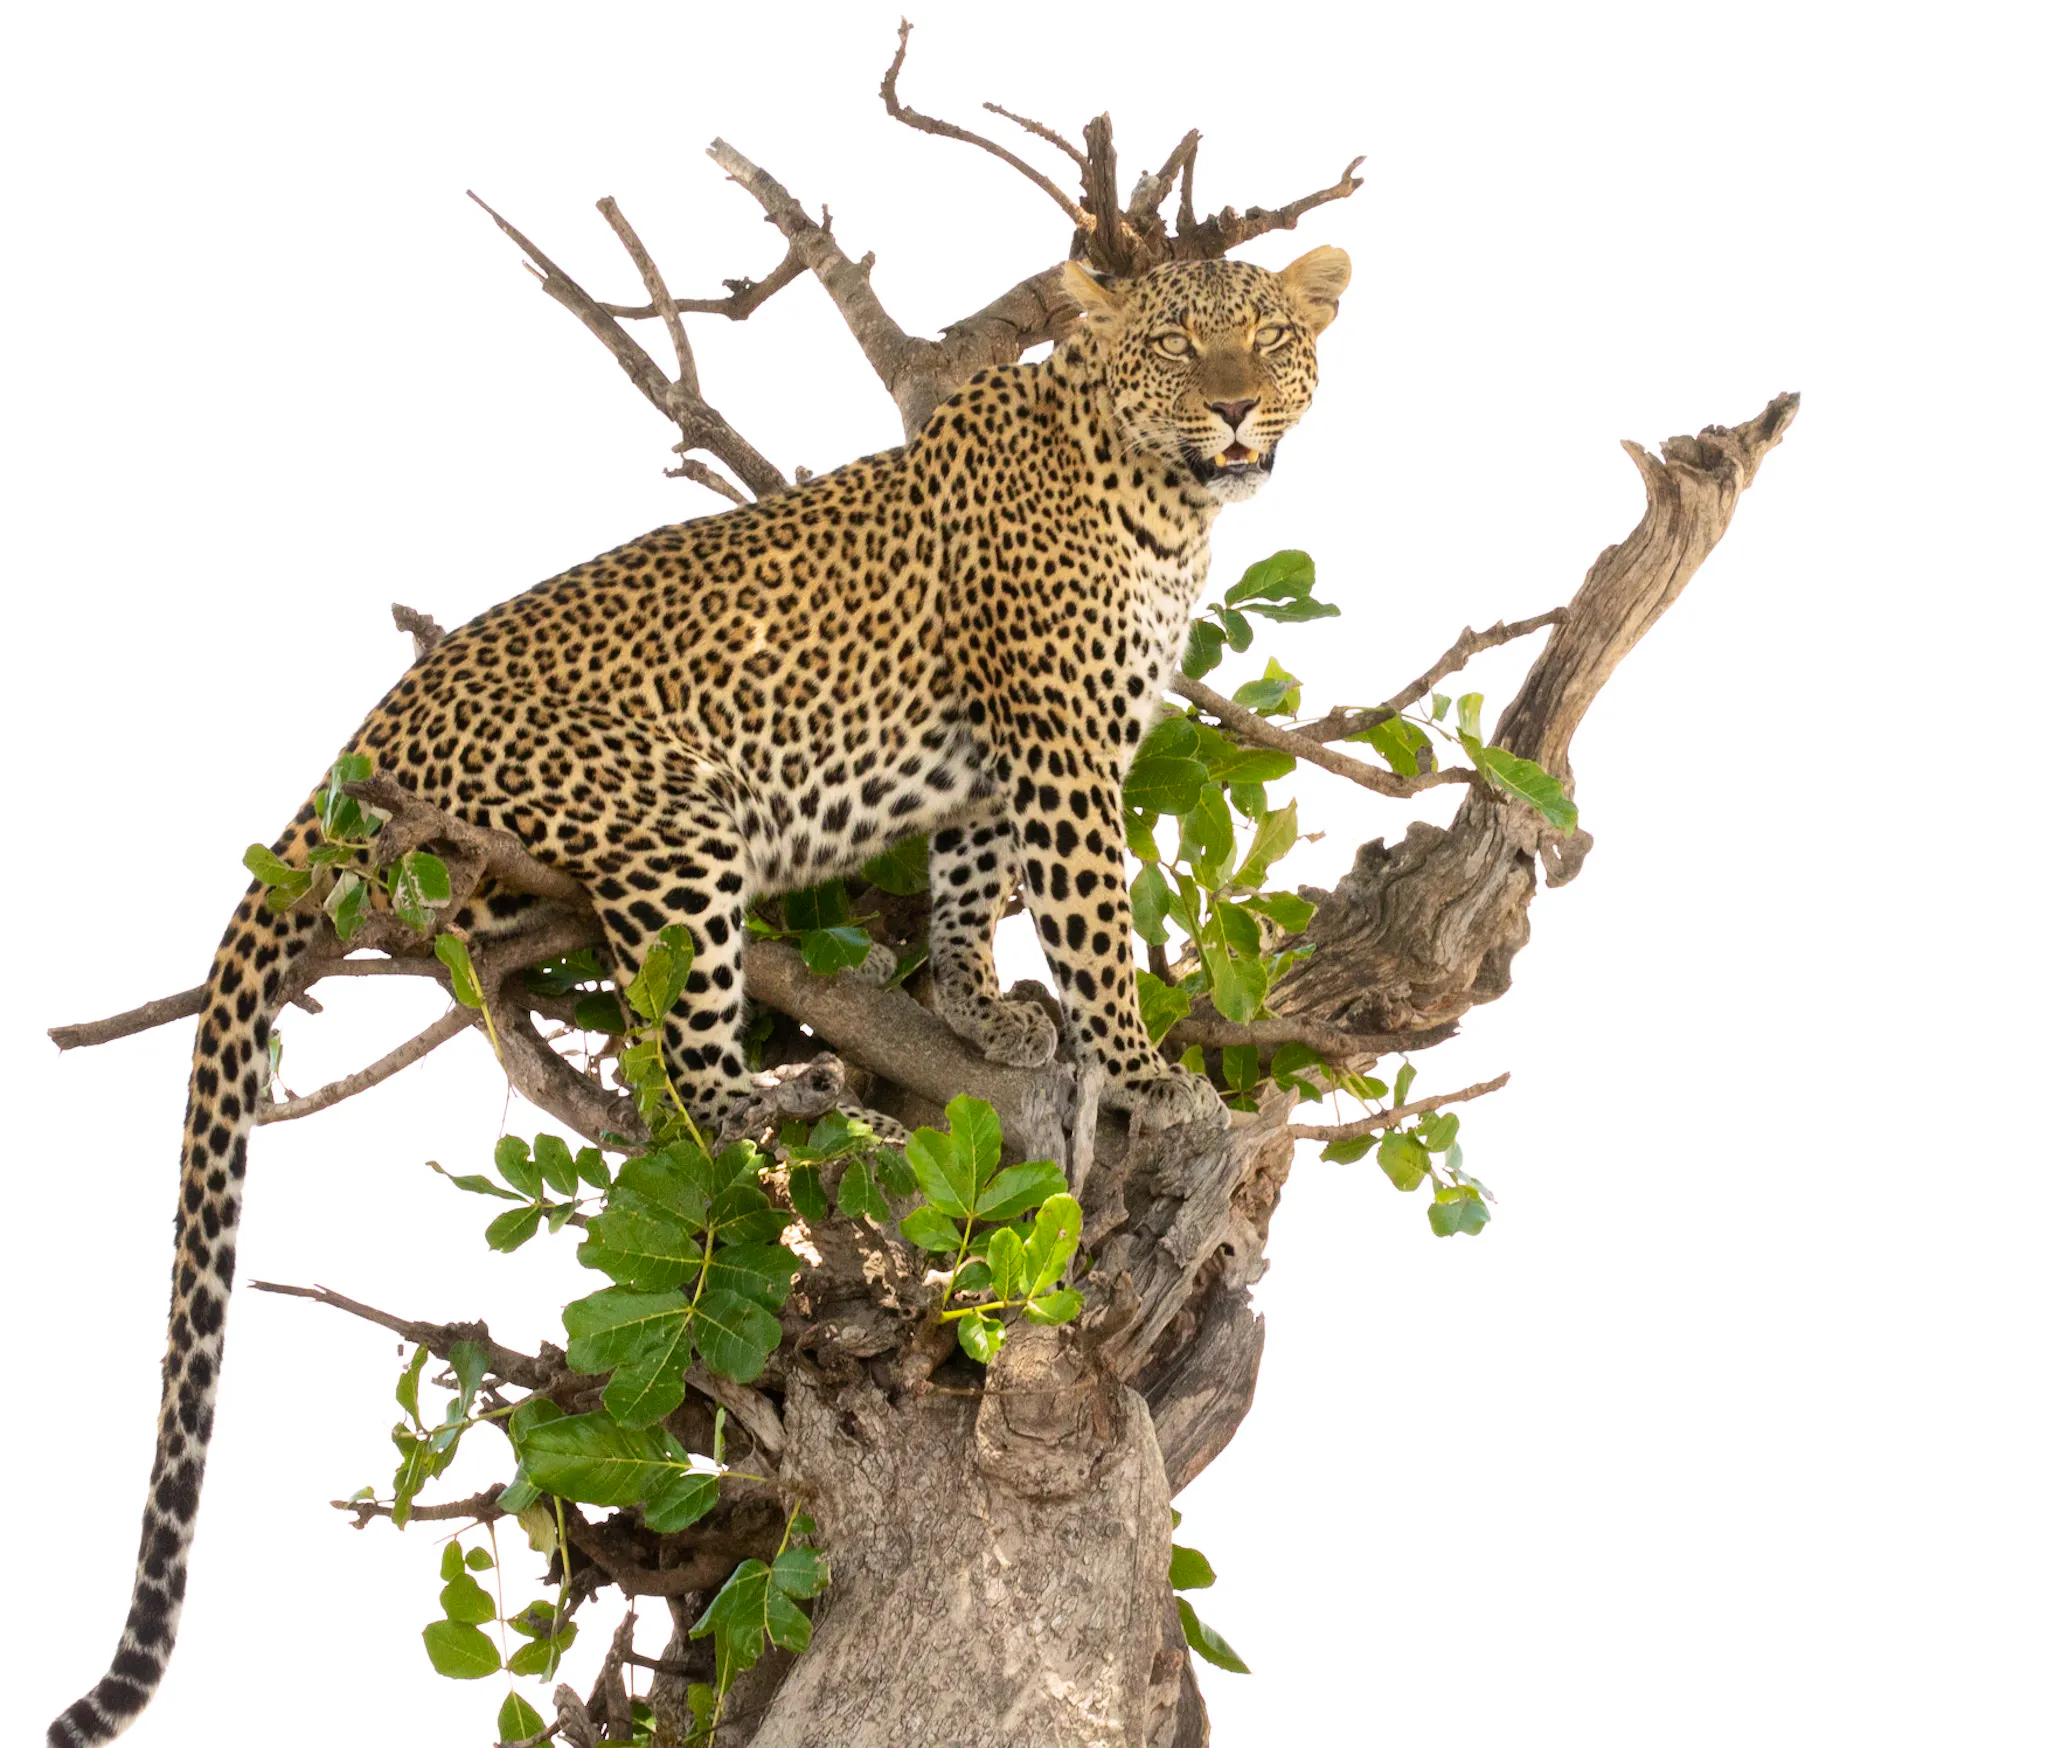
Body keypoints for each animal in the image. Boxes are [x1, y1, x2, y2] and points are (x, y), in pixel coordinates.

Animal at [49, 243, 1350, 1745]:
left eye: (1264, 337)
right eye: (1179, 346)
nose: (1239, 407)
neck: (1160, 500)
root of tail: (348, 761)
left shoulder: (996, 758)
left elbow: (971, 882)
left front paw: (980, 1005)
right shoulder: (1060, 742)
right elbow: (1089, 915)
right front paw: (1141, 1068)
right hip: (667, 823)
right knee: (674, 1081)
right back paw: (798, 1096)